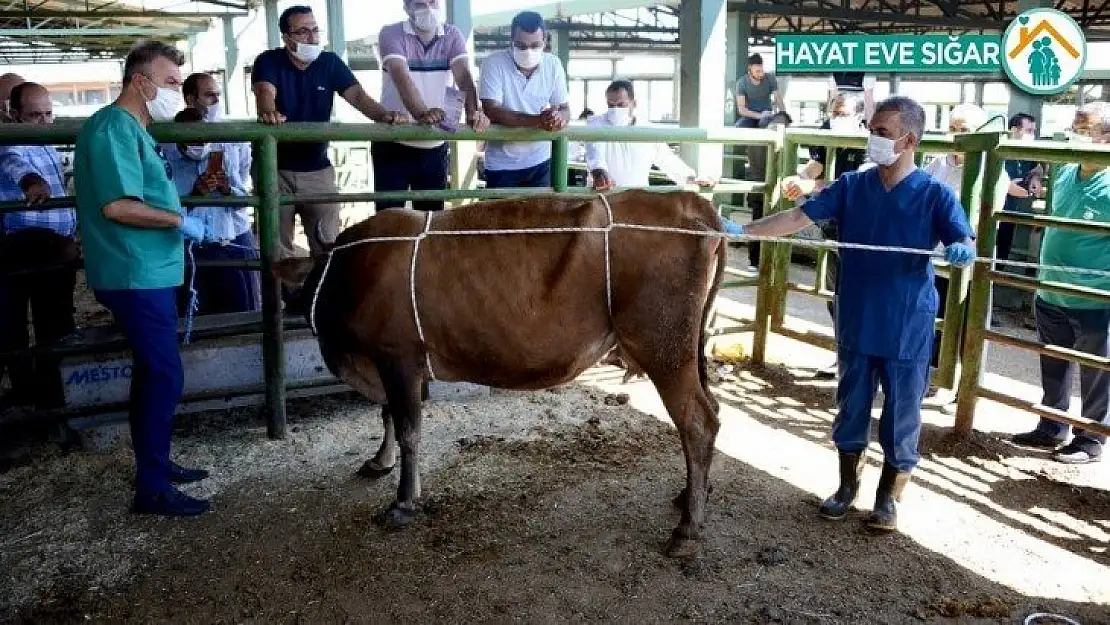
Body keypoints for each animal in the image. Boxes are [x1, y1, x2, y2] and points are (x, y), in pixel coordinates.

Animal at [277, 189, 728, 557]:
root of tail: (691, 203)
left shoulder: (397, 357)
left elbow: (407, 429)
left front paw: (404, 502)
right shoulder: (388, 364)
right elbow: (387, 414)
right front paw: (379, 461)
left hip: (665, 350)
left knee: (697, 422)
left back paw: (688, 529)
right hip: (688, 351)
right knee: (712, 411)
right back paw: (693, 494)